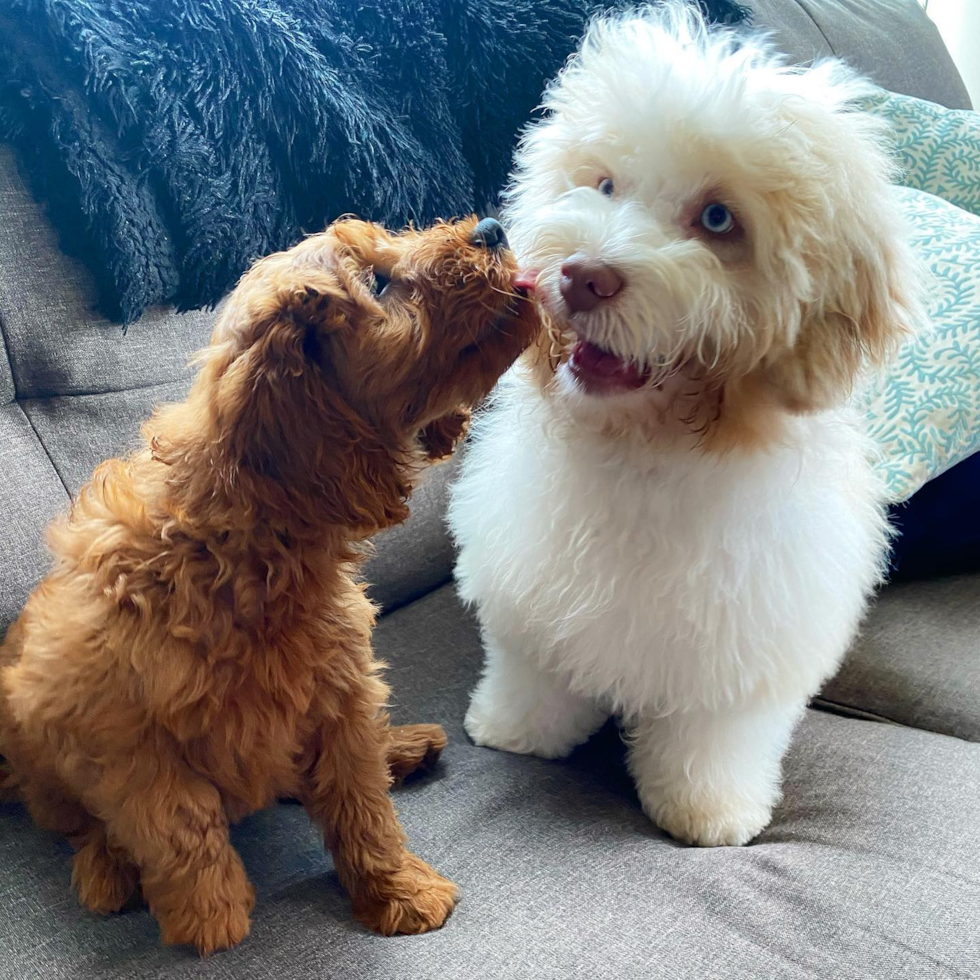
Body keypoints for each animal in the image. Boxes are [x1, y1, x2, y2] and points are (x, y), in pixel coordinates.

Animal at [0, 216, 536, 956]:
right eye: (376, 282)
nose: (490, 227)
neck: (242, 544)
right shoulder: (125, 735)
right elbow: (177, 824)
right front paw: (208, 915)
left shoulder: (340, 687)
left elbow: (363, 806)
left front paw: (397, 892)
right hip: (35, 743)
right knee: (84, 822)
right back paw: (106, 868)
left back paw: (399, 747)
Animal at [448, 5, 924, 848]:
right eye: (604, 183)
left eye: (717, 219)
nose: (584, 274)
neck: (646, 447)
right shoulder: (527, 574)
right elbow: (532, 667)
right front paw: (514, 730)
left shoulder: (742, 647)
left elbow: (715, 734)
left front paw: (712, 812)